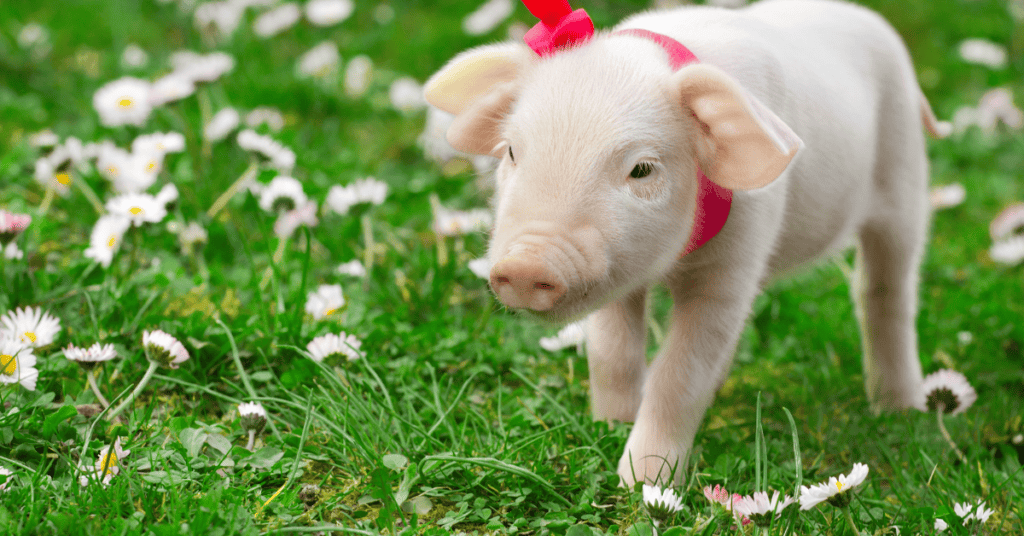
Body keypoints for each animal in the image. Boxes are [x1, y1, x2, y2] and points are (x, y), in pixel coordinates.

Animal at [423, 0, 948, 487]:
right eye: (513, 151)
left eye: (641, 169)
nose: (526, 265)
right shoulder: (618, 275)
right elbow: (611, 352)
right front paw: (609, 424)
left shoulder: (736, 259)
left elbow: (680, 372)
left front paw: (643, 482)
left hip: (904, 174)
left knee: (885, 291)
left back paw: (900, 409)